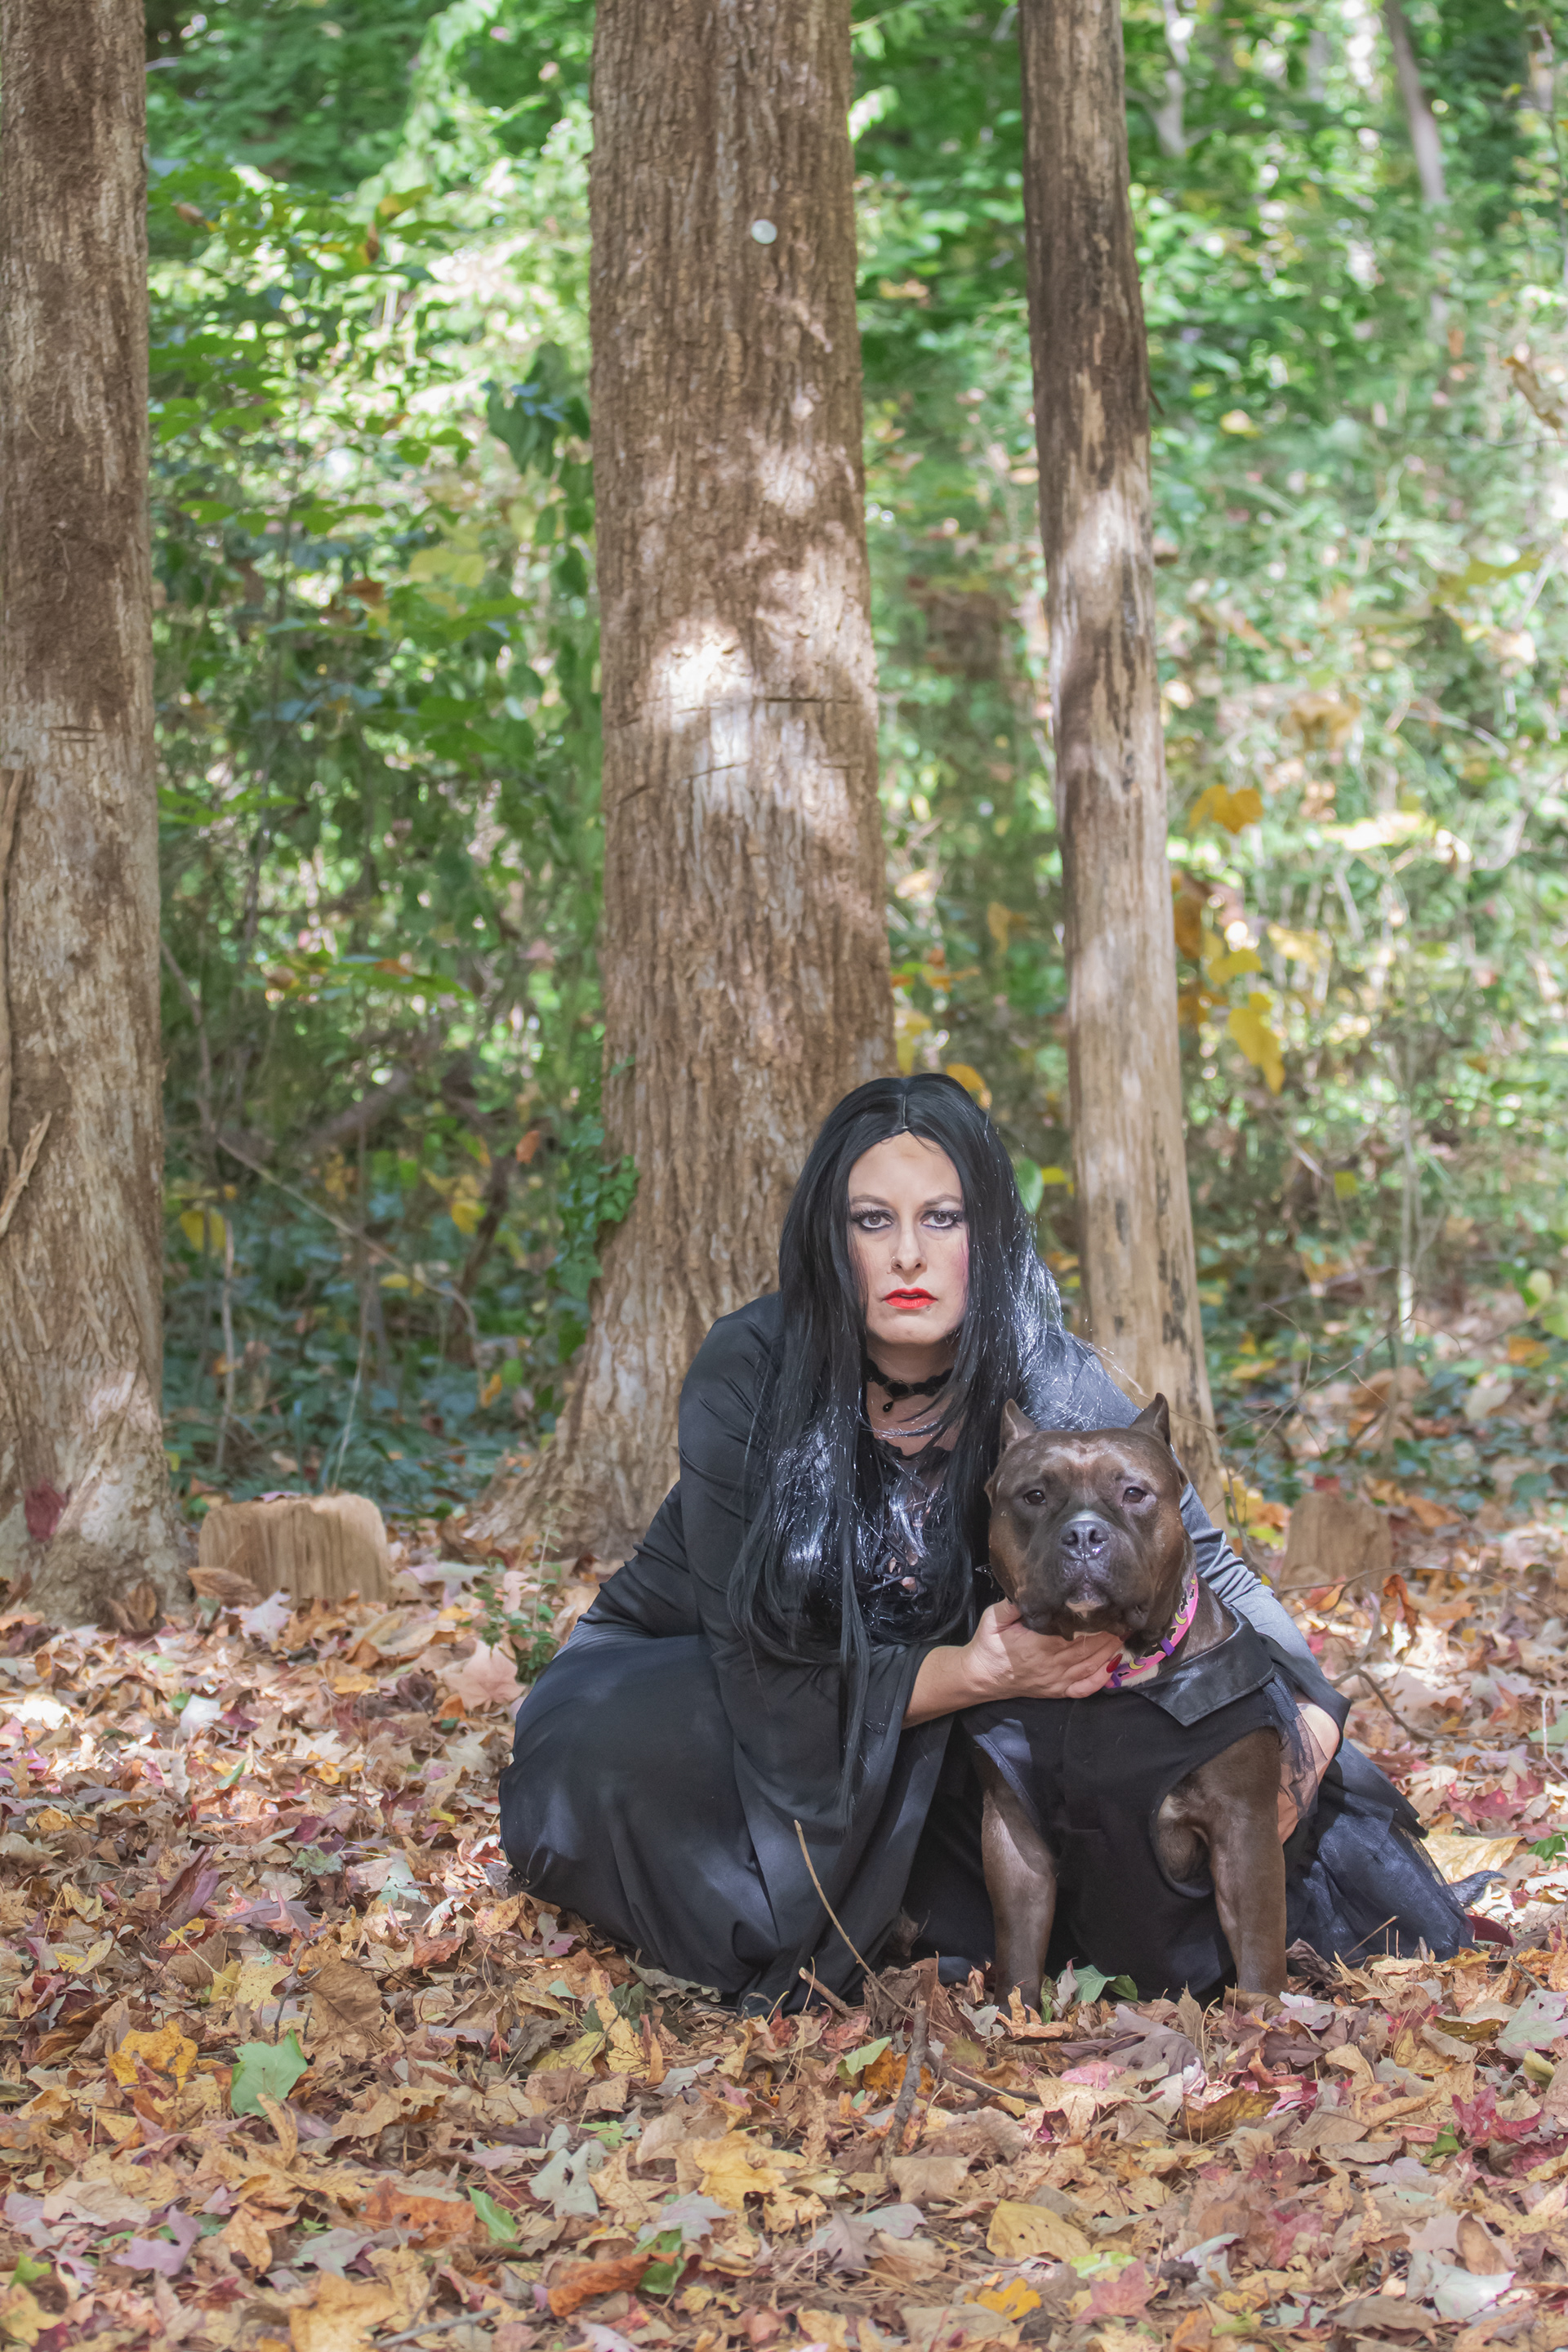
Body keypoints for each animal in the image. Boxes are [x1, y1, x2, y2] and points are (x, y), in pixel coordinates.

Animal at [965, 1396, 1291, 2006]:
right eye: (1034, 1496)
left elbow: (1260, 1946)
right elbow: (1018, 1950)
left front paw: (1263, 2021)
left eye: (1135, 1493)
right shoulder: (1012, 1834)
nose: (1084, 1535)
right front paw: (1011, 2017)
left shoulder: (1244, 1827)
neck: (1114, 1677)